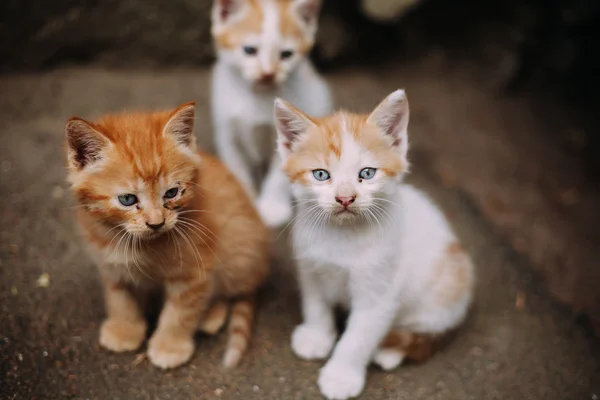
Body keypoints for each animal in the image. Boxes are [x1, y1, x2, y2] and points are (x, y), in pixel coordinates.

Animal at [65, 102, 270, 368]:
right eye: (127, 199)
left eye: (172, 193)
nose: (156, 223)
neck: (139, 246)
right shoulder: (110, 263)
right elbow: (119, 298)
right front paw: (124, 330)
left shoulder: (196, 270)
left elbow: (181, 311)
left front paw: (170, 347)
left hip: (239, 251)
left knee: (230, 291)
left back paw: (210, 315)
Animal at [210, 0, 332, 228]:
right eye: (249, 50)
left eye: (286, 54)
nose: (268, 74)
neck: (257, 97)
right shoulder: (227, 130)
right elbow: (238, 169)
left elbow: (278, 175)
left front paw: (272, 207)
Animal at [274, 90, 476, 400]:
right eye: (321, 175)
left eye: (367, 173)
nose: (345, 198)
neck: (341, 236)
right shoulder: (310, 265)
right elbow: (315, 302)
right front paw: (317, 336)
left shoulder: (379, 293)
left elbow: (358, 337)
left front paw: (341, 377)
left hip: (445, 293)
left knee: (422, 332)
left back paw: (389, 352)